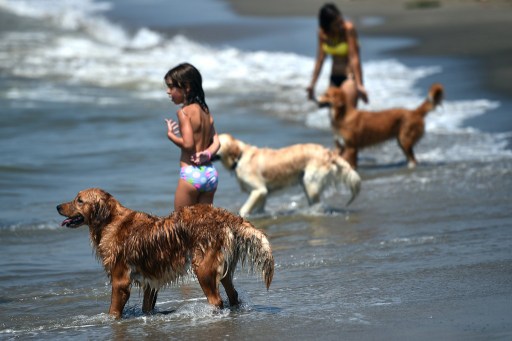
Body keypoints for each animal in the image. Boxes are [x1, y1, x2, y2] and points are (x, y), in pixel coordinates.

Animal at [56, 189, 274, 318]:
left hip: (203, 268)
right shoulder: (150, 281)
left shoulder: (120, 282)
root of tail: (225, 215)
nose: (57, 206)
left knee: (216, 300)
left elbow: (113, 312)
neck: (110, 222)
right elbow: (147, 307)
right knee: (232, 294)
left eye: (79, 200)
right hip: (224, 270)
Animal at [214, 132, 362, 215]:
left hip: (310, 183)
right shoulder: (263, 194)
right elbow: (259, 208)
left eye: (213, 141)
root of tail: (328, 153)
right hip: (305, 183)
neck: (239, 156)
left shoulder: (259, 190)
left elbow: (243, 209)